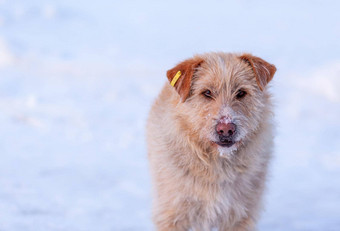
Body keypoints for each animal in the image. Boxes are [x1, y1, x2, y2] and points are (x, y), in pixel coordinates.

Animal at [146, 52, 276, 231]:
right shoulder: (172, 214)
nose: (226, 129)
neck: (217, 163)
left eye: (241, 92)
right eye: (207, 93)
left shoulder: (241, 216)